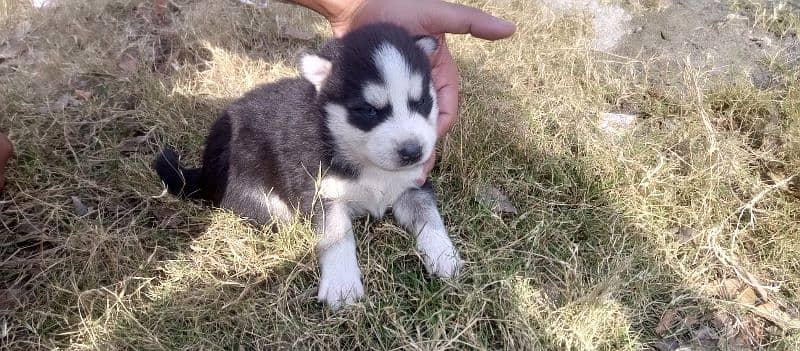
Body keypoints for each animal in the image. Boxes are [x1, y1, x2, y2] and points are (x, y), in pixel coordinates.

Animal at [153, 23, 462, 308]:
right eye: (368, 110)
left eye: (422, 101)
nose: (413, 152)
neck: (364, 159)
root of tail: (204, 168)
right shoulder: (321, 192)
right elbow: (336, 234)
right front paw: (341, 284)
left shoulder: (414, 184)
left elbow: (429, 217)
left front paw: (443, 254)